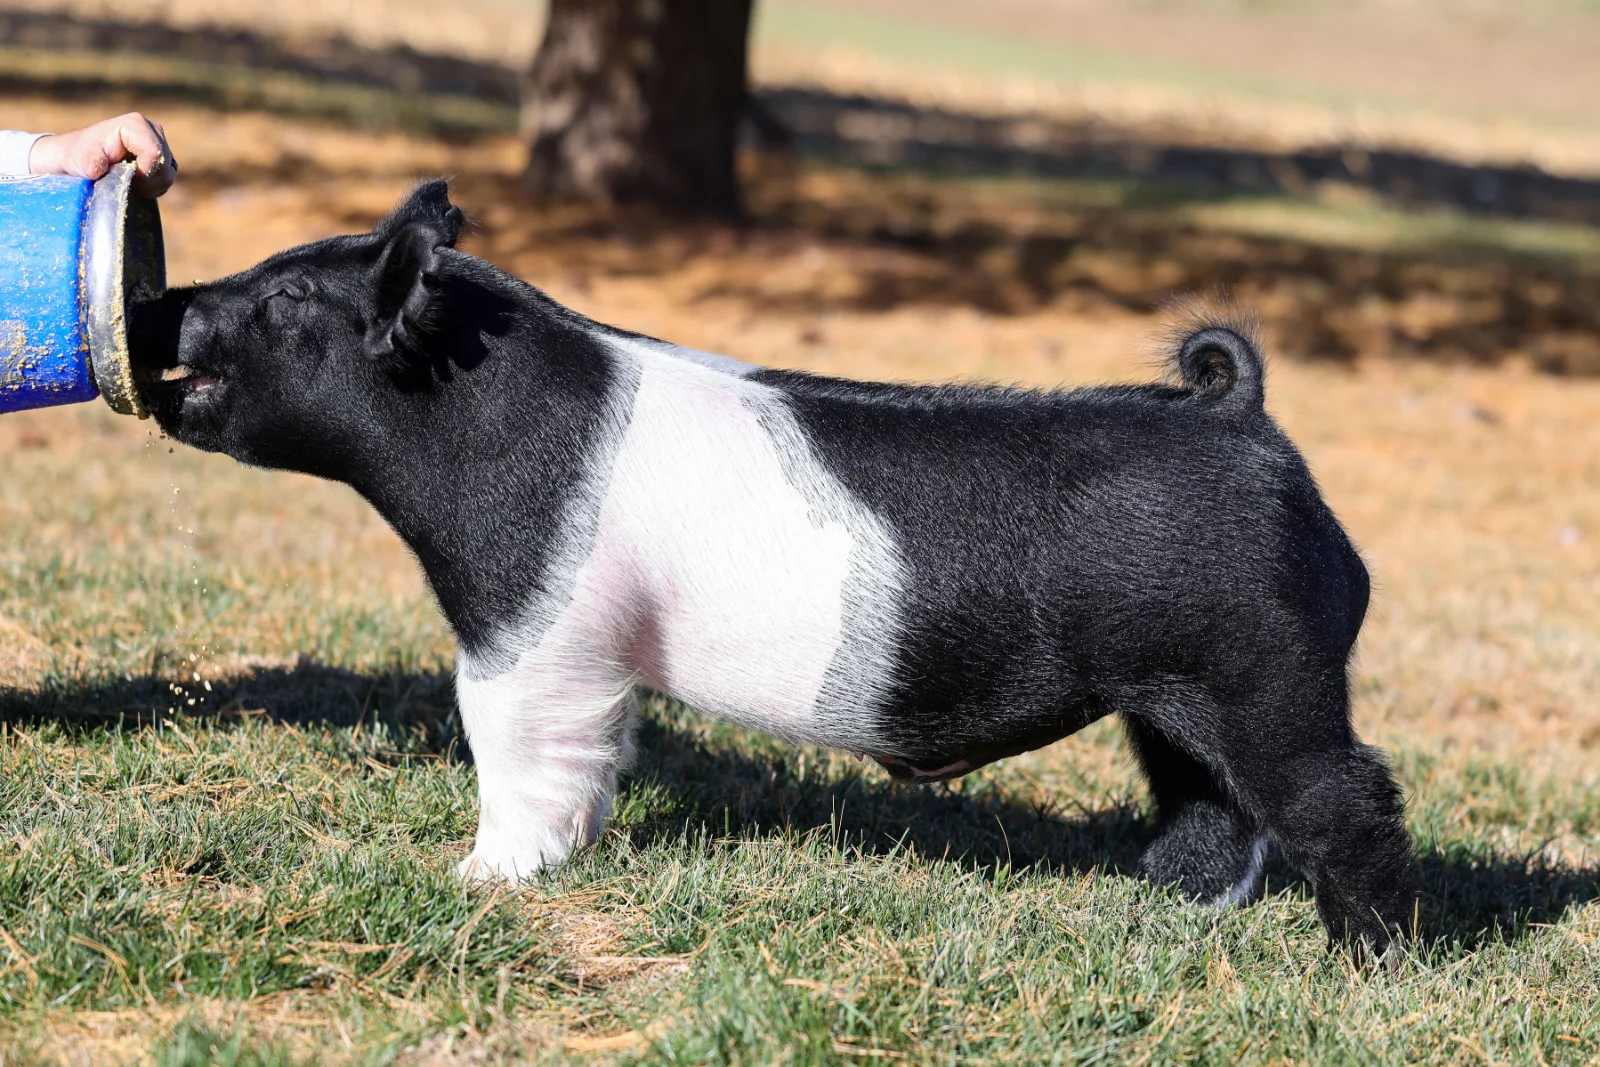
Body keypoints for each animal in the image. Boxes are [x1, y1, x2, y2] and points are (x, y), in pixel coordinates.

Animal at [132, 181, 1417, 959]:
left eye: (287, 300)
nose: (165, 300)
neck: (465, 423)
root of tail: (1240, 415)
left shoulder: (526, 628)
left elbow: (510, 745)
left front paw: (479, 879)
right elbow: (598, 757)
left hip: (1265, 666)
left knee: (1344, 790)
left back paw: (1364, 959)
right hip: (1168, 689)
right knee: (1209, 798)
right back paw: (1161, 905)